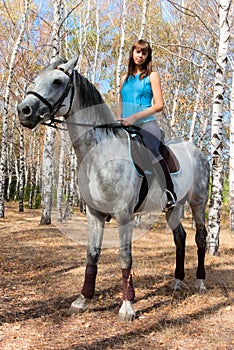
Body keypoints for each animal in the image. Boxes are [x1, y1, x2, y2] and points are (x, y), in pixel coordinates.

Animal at [17, 57, 209, 322]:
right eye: (36, 79)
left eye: (57, 81)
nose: (23, 110)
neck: (99, 154)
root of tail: (197, 151)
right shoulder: (94, 214)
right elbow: (92, 254)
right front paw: (83, 299)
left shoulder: (124, 215)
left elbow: (124, 256)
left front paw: (127, 306)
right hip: (174, 207)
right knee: (180, 238)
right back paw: (177, 282)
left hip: (198, 203)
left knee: (201, 238)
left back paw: (200, 282)